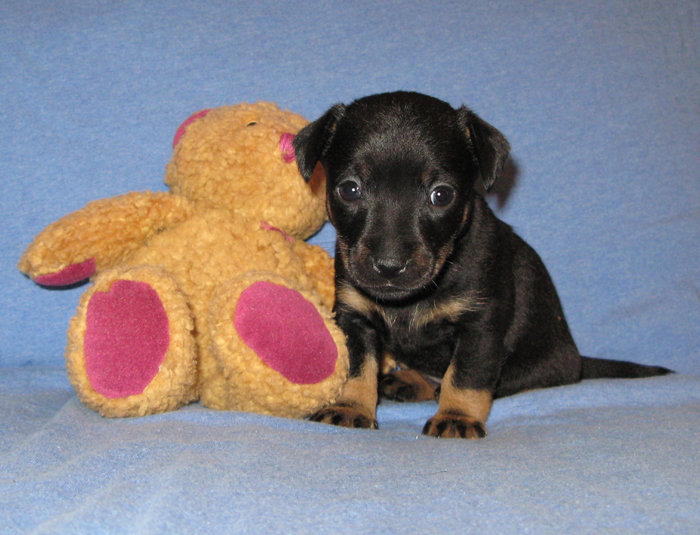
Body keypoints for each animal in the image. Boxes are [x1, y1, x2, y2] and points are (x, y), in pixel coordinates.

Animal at [292, 92, 672, 440]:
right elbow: (357, 369)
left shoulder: (480, 325)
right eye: (349, 189)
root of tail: (577, 358)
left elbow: (465, 377)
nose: (389, 266)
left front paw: (456, 417)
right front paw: (350, 407)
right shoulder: (354, 317)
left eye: (442, 195)